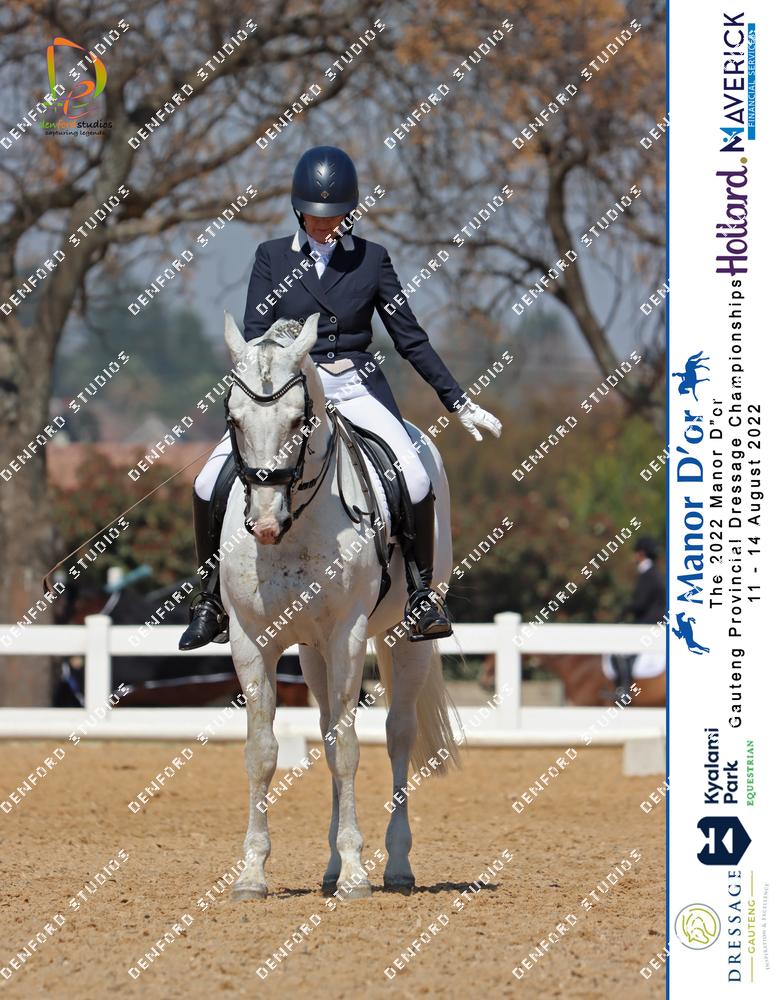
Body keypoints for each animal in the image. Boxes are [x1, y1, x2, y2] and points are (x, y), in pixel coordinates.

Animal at [218, 312, 460, 900]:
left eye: (298, 421)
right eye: (234, 419)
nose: (265, 523)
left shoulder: (348, 636)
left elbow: (349, 749)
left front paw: (355, 874)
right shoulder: (250, 641)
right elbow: (263, 752)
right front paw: (252, 873)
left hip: (403, 640)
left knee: (397, 736)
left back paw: (395, 866)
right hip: (312, 652)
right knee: (328, 728)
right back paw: (330, 868)